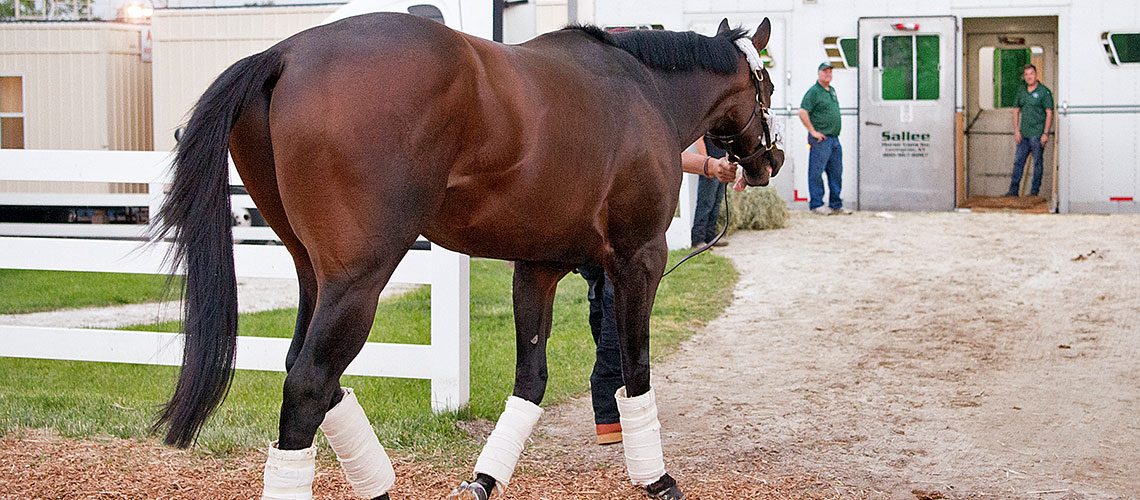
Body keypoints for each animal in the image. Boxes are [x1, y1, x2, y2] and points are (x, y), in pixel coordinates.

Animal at [153, 12, 784, 500]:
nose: (770, 160)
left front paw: (485, 478)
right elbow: (636, 370)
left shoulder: (538, 267)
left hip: (313, 273)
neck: (644, 91)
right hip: (359, 280)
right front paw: (658, 479)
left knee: (306, 372)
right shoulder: (639, 259)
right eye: (768, 89)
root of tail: (283, 54)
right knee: (309, 381)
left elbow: (531, 379)